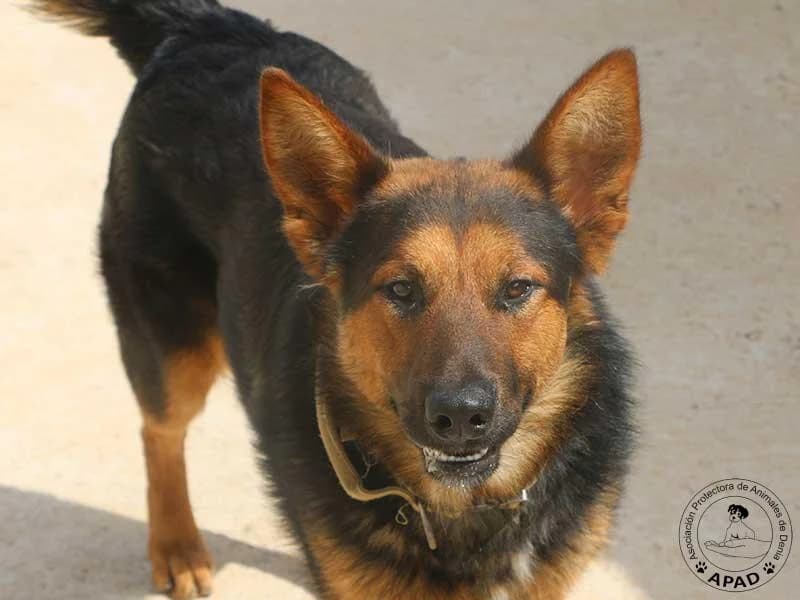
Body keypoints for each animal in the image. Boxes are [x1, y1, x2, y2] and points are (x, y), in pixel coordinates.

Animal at [32, 1, 641, 598]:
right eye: (401, 289)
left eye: (517, 289)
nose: (461, 417)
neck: (462, 510)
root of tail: (203, 28)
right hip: (172, 350)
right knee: (159, 430)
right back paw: (176, 545)